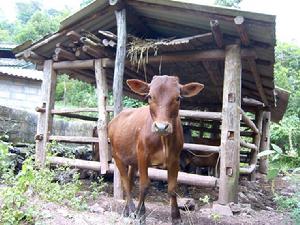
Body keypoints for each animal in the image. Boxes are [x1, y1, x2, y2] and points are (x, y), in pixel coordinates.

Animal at [108, 75, 204, 223]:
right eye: (149, 96)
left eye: (178, 98)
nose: (161, 127)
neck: (163, 141)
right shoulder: (142, 156)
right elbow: (144, 185)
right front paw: (141, 213)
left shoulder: (175, 160)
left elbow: (172, 188)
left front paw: (176, 217)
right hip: (117, 156)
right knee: (125, 183)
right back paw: (132, 209)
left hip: (133, 162)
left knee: (130, 182)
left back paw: (126, 210)